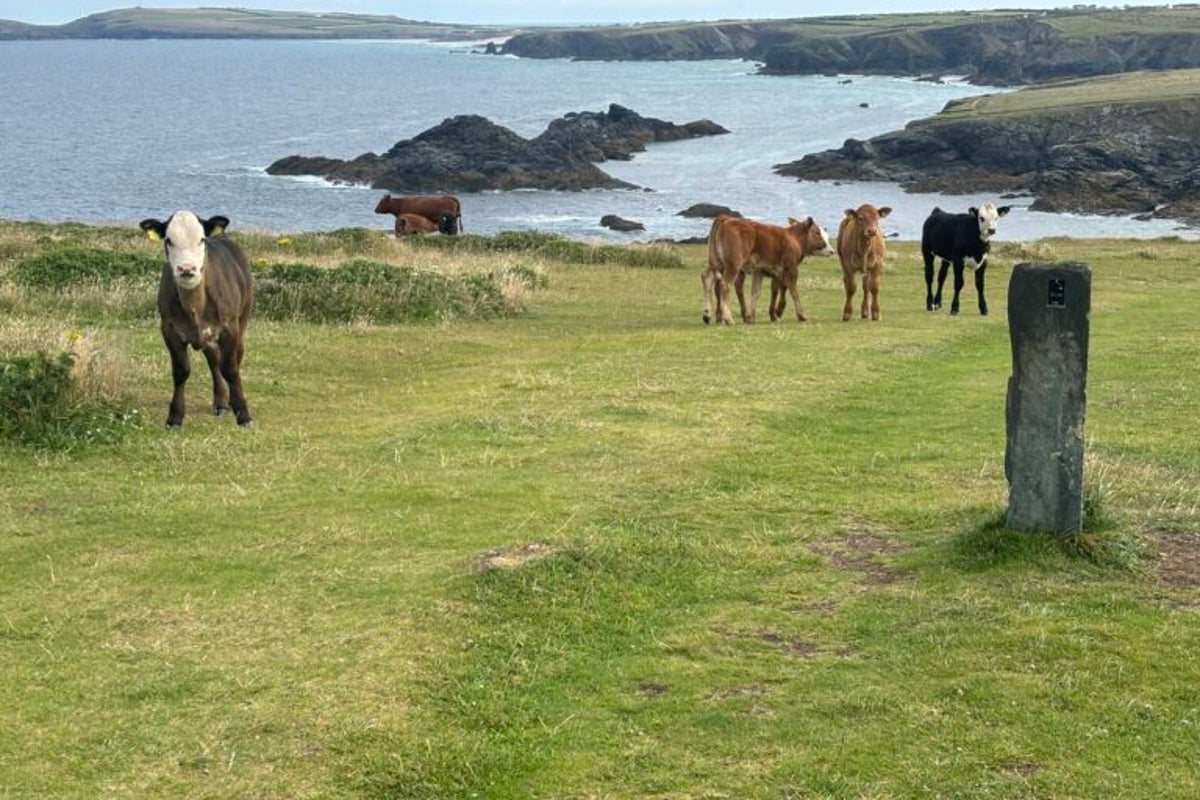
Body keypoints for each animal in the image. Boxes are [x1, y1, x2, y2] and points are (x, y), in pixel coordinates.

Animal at [139, 211, 254, 428]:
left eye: (201, 239)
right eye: (168, 240)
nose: (186, 268)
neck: (195, 305)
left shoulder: (230, 327)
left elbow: (230, 368)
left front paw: (243, 414)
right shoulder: (169, 329)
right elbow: (181, 371)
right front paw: (175, 416)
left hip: (243, 317)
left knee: (236, 356)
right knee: (214, 359)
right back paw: (220, 402)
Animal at [702, 215, 832, 325]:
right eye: (817, 232)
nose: (832, 251)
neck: (793, 238)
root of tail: (724, 219)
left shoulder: (760, 271)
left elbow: (757, 292)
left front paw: (751, 317)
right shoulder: (791, 268)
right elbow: (794, 291)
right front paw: (801, 315)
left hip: (717, 263)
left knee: (707, 278)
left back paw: (707, 315)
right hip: (733, 266)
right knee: (725, 285)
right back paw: (728, 318)